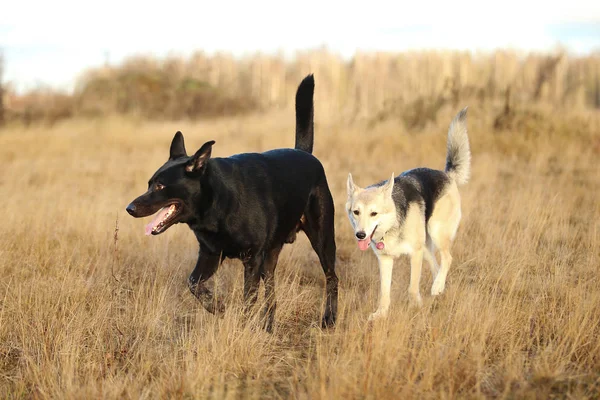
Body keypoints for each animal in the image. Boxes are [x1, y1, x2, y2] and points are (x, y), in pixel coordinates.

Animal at [126, 75, 338, 332]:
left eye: (159, 186)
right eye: (149, 184)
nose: (130, 209)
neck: (215, 205)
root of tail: (305, 153)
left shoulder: (252, 259)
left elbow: (248, 300)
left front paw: (241, 326)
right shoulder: (210, 253)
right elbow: (193, 282)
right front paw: (216, 306)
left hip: (322, 238)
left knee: (332, 277)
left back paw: (329, 320)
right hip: (270, 256)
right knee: (271, 293)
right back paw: (268, 327)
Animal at [346, 108, 468, 320]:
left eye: (374, 213)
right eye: (356, 212)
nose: (360, 235)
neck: (391, 227)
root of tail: (447, 175)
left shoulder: (415, 254)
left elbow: (412, 287)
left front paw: (416, 307)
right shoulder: (385, 260)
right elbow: (384, 293)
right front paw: (380, 314)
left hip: (436, 233)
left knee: (447, 259)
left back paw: (437, 287)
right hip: (427, 246)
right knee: (437, 265)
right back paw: (439, 287)